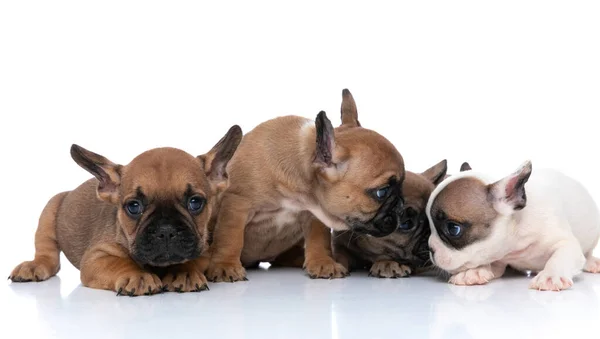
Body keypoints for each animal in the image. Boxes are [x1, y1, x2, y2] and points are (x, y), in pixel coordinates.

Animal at [8, 126, 241, 296]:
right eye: (134, 206)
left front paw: (183, 273)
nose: (166, 230)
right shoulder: (96, 257)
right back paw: (33, 266)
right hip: (50, 209)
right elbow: (119, 263)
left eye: (195, 202)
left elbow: (190, 260)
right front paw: (137, 275)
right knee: (47, 254)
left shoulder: (204, 249)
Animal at [204, 89, 406, 282]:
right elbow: (230, 238)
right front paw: (225, 265)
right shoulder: (237, 204)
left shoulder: (315, 213)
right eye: (381, 192)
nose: (401, 206)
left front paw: (323, 263)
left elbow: (319, 239)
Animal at [426, 162, 600, 292]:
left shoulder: (565, 243)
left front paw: (551, 275)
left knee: (589, 252)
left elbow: (560, 256)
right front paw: (473, 271)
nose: (430, 248)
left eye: (453, 229)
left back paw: (593, 263)